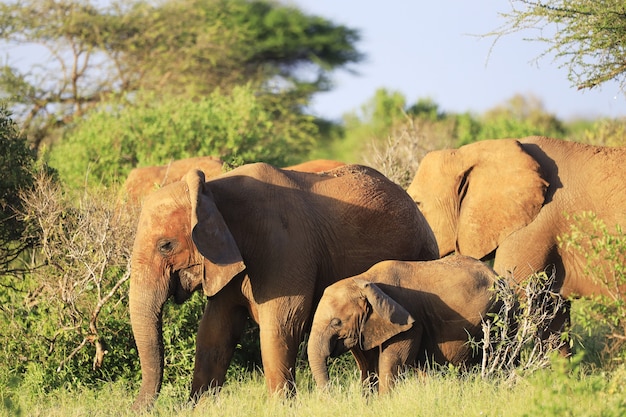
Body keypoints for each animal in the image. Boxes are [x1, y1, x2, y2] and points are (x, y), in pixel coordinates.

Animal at [127, 161, 438, 408]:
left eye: (165, 246)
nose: (136, 408)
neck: (211, 193)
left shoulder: (284, 248)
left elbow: (281, 325)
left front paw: (281, 408)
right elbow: (215, 331)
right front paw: (200, 408)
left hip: (420, 256)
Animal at [304, 254, 500, 394]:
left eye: (336, 322)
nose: (334, 392)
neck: (364, 279)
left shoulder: (410, 322)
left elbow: (392, 362)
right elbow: (368, 366)